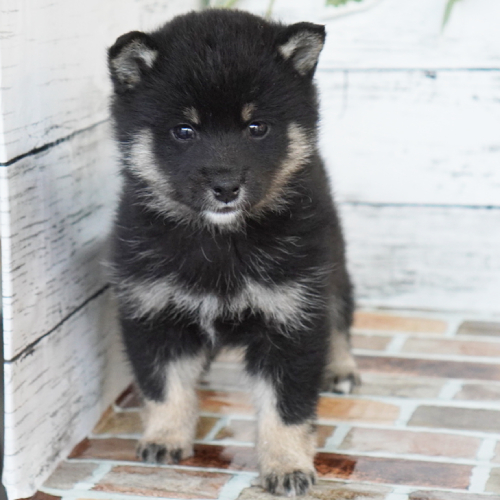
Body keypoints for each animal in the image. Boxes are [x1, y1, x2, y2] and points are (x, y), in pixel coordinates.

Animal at [108, 9, 360, 498]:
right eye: (184, 130)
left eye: (255, 127)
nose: (225, 186)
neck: (220, 243)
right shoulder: (152, 311)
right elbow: (164, 386)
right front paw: (165, 437)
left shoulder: (291, 317)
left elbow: (286, 408)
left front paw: (287, 464)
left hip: (332, 262)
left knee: (339, 316)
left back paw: (341, 367)